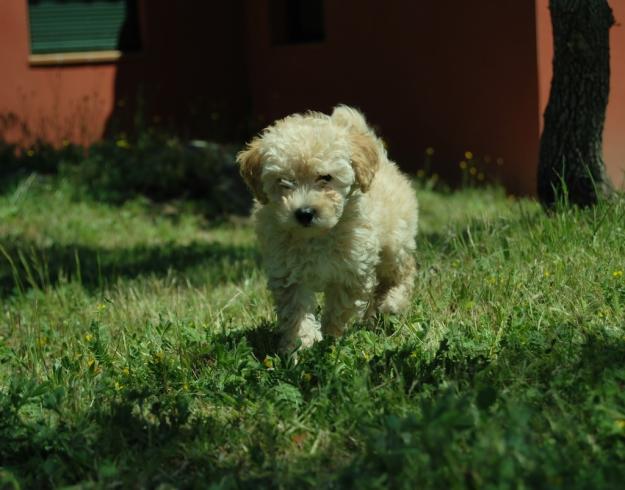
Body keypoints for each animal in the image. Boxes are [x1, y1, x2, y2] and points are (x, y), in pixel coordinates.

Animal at [239, 106, 420, 352]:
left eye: (325, 177)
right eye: (284, 181)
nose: (304, 213)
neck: (317, 236)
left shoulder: (351, 271)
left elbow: (339, 308)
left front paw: (330, 339)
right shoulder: (288, 273)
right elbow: (296, 311)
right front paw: (302, 344)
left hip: (395, 240)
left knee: (402, 271)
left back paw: (392, 302)